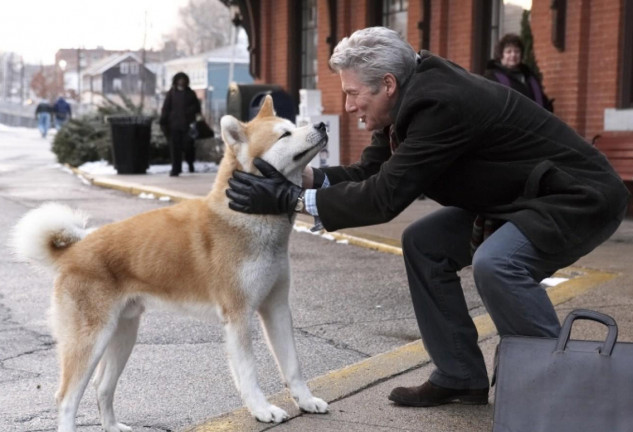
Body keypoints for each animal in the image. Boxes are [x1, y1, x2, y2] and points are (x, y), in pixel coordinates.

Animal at [11, 96, 330, 432]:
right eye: (285, 134)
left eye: (294, 126)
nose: (322, 125)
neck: (247, 217)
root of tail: (74, 251)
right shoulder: (239, 316)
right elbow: (249, 373)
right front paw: (262, 409)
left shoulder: (277, 307)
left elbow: (293, 366)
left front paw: (306, 401)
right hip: (90, 340)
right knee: (67, 399)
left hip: (123, 335)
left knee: (102, 387)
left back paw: (113, 426)